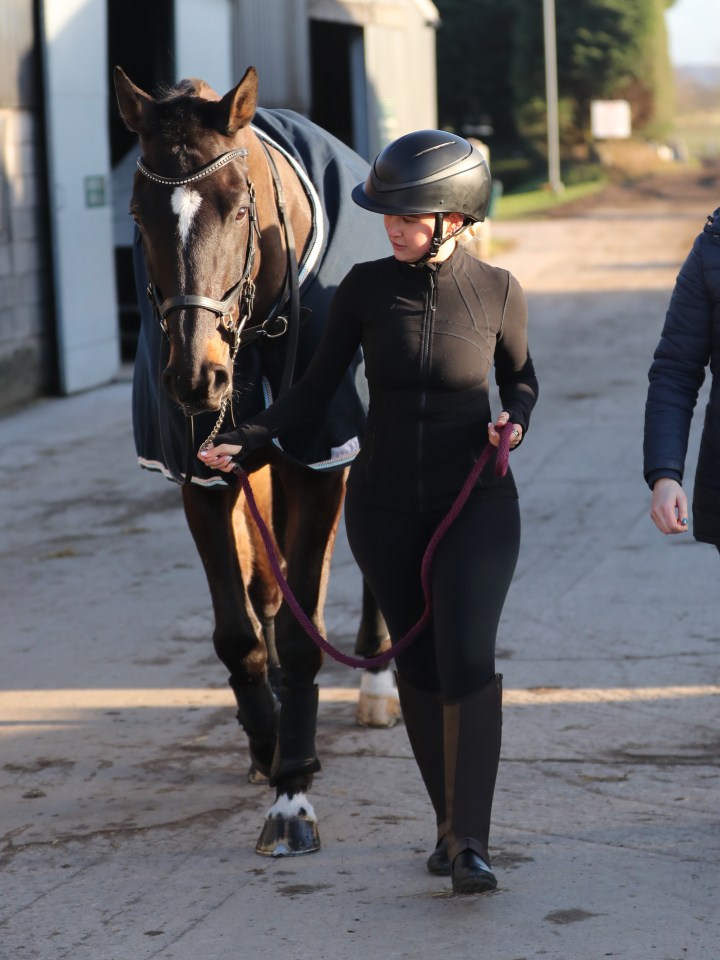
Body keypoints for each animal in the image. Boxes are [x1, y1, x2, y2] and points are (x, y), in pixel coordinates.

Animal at [114, 65, 404, 856]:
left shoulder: (320, 459)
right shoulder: (202, 474)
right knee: (266, 588)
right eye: (138, 213)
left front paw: (293, 790)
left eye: (238, 206)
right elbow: (238, 631)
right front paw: (268, 744)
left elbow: (307, 626)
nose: (194, 377)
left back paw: (378, 682)